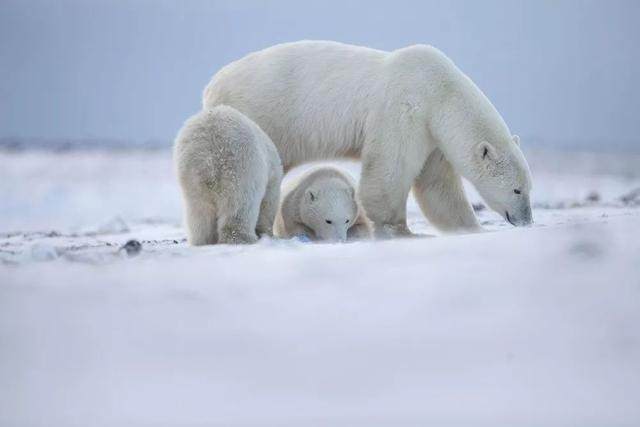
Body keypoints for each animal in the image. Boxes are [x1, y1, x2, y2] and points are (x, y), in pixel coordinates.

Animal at [176, 105, 284, 246]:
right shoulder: (271, 180)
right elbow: (267, 205)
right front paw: (266, 233)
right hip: (241, 166)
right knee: (240, 205)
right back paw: (242, 238)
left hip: (191, 172)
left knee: (198, 210)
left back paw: (203, 241)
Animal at [205, 41, 536, 237]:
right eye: (517, 190)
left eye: (528, 188)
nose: (526, 221)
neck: (441, 92)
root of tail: (212, 85)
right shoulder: (405, 108)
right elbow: (390, 168)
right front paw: (397, 228)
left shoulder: (433, 134)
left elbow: (438, 185)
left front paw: (468, 227)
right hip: (259, 113)